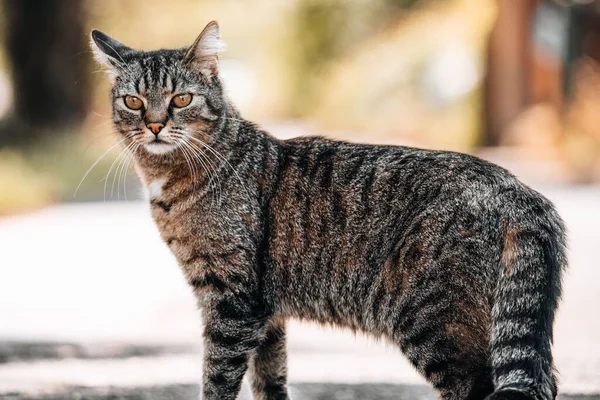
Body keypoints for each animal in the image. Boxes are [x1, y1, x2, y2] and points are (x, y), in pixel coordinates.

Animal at [90, 21, 568, 400]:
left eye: (181, 99)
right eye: (134, 102)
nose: (154, 125)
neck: (169, 178)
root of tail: (517, 190)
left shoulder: (233, 302)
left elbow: (217, 378)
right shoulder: (267, 315)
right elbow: (270, 381)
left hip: (436, 321)